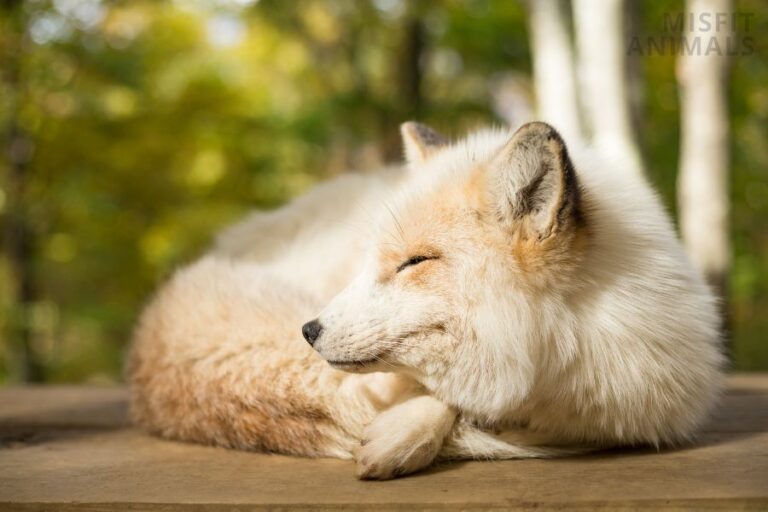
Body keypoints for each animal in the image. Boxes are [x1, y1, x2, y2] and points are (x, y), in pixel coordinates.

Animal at [127, 121, 724, 479]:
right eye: (371, 261)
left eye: (414, 263)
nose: (309, 331)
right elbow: (438, 393)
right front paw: (403, 432)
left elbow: (452, 396)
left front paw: (406, 432)